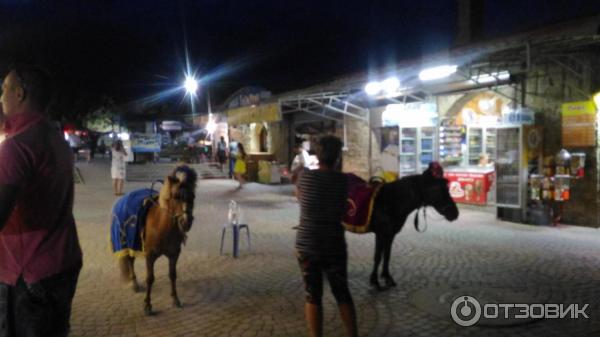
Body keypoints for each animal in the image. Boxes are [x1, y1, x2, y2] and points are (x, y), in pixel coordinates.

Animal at [118, 165, 198, 316]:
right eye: (175, 196)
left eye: (192, 196)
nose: (186, 222)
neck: (162, 227)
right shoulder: (150, 256)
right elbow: (150, 279)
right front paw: (147, 305)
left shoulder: (174, 254)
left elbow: (172, 275)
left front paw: (175, 299)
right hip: (130, 244)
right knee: (130, 261)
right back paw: (134, 283)